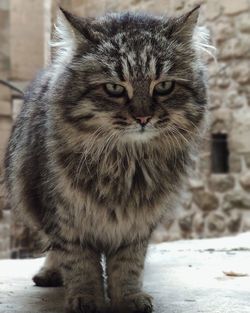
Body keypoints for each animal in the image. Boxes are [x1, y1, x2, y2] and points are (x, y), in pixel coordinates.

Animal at [4, 4, 210, 312]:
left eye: (163, 87)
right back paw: (49, 272)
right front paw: (87, 298)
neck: (126, 164)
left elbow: (127, 267)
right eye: (114, 88)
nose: (143, 118)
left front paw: (128, 298)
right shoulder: (66, 218)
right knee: (52, 247)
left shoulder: (136, 226)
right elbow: (80, 265)